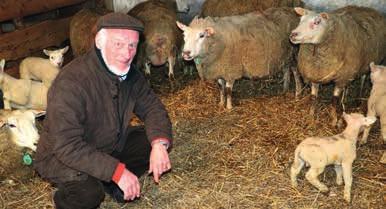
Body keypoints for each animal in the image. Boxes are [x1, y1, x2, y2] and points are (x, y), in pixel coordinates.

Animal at [176, 7, 304, 109]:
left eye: (201, 35)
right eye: (184, 35)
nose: (186, 53)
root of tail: (291, 12)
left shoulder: (230, 69)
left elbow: (228, 90)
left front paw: (229, 107)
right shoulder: (220, 69)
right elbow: (221, 87)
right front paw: (221, 103)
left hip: (293, 53)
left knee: (295, 72)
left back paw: (297, 93)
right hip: (285, 54)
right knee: (286, 69)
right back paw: (285, 88)